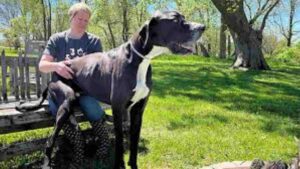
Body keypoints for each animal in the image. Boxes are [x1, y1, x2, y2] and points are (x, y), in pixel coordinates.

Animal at [15, 10, 204, 169]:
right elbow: (120, 141)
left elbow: (134, 142)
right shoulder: (118, 108)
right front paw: (119, 165)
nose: (202, 27)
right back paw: (47, 163)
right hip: (66, 98)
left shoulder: (138, 110)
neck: (140, 59)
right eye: (175, 20)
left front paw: (133, 164)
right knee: (50, 139)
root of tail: (52, 77)